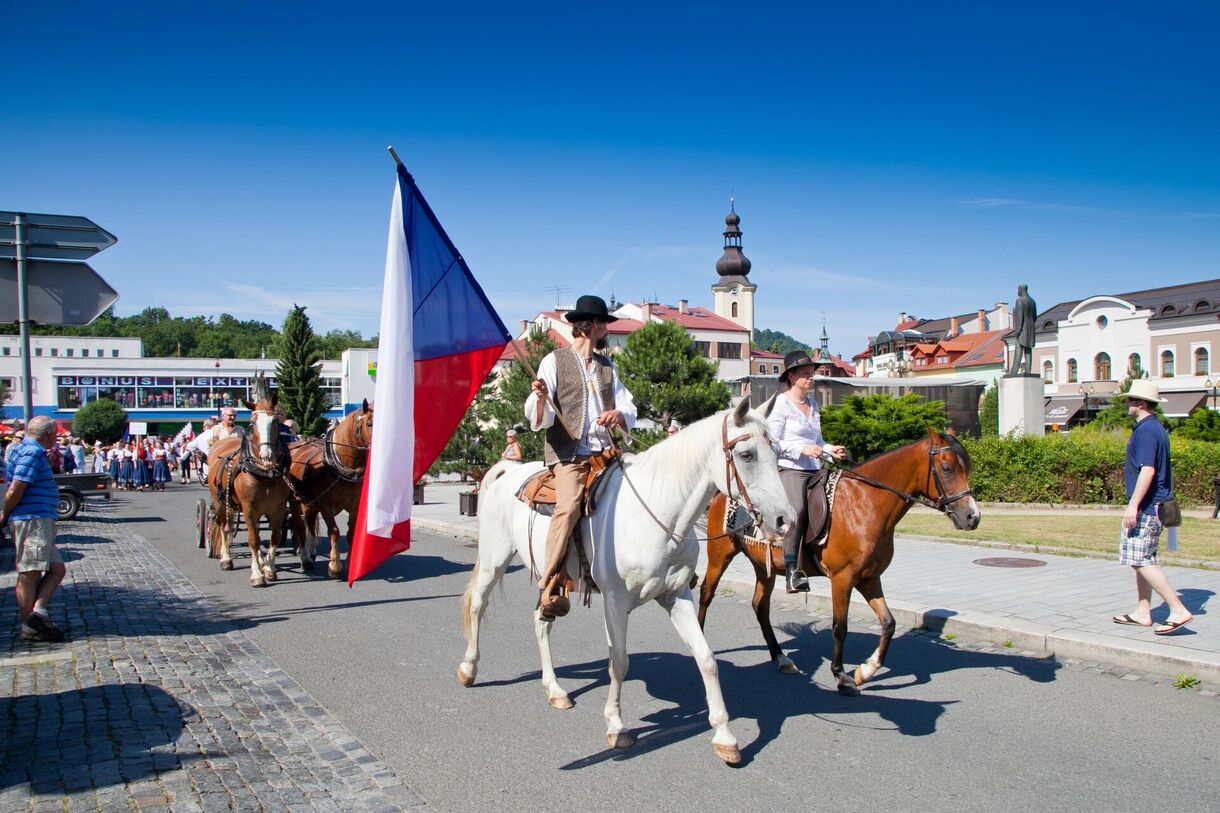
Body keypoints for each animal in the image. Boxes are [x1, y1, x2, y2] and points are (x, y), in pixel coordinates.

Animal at [208, 393, 294, 583]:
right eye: (253, 423)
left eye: (275, 422)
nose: (266, 455)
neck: (265, 473)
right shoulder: (248, 508)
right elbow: (253, 539)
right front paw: (257, 574)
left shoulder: (278, 508)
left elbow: (274, 536)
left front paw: (269, 568)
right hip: (220, 501)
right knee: (224, 525)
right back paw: (226, 558)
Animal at [285, 397, 370, 576]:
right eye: (369, 423)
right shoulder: (326, 505)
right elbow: (334, 531)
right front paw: (335, 566)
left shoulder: (355, 505)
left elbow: (351, 533)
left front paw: (349, 564)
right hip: (297, 500)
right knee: (300, 525)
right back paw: (306, 558)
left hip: (310, 502)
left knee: (309, 523)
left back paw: (311, 552)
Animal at [458, 395, 790, 761]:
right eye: (747, 455)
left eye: (776, 451)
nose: (785, 520)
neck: (660, 515)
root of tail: (509, 470)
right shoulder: (615, 603)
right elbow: (619, 661)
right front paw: (617, 726)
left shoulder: (677, 596)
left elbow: (706, 659)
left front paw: (724, 736)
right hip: (494, 559)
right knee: (478, 605)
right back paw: (469, 669)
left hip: (549, 578)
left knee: (541, 622)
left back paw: (555, 689)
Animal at [702, 427, 976, 693]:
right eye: (947, 468)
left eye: (968, 467)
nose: (972, 517)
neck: (865, 503)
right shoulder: (843, 578)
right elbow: (839, 627)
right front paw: (842, 676)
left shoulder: (869, 578)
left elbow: (888, 622)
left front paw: (866, 671)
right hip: (719, 556)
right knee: (706, 593)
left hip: (763, 565)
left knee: (760, 606)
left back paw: (781, 658)